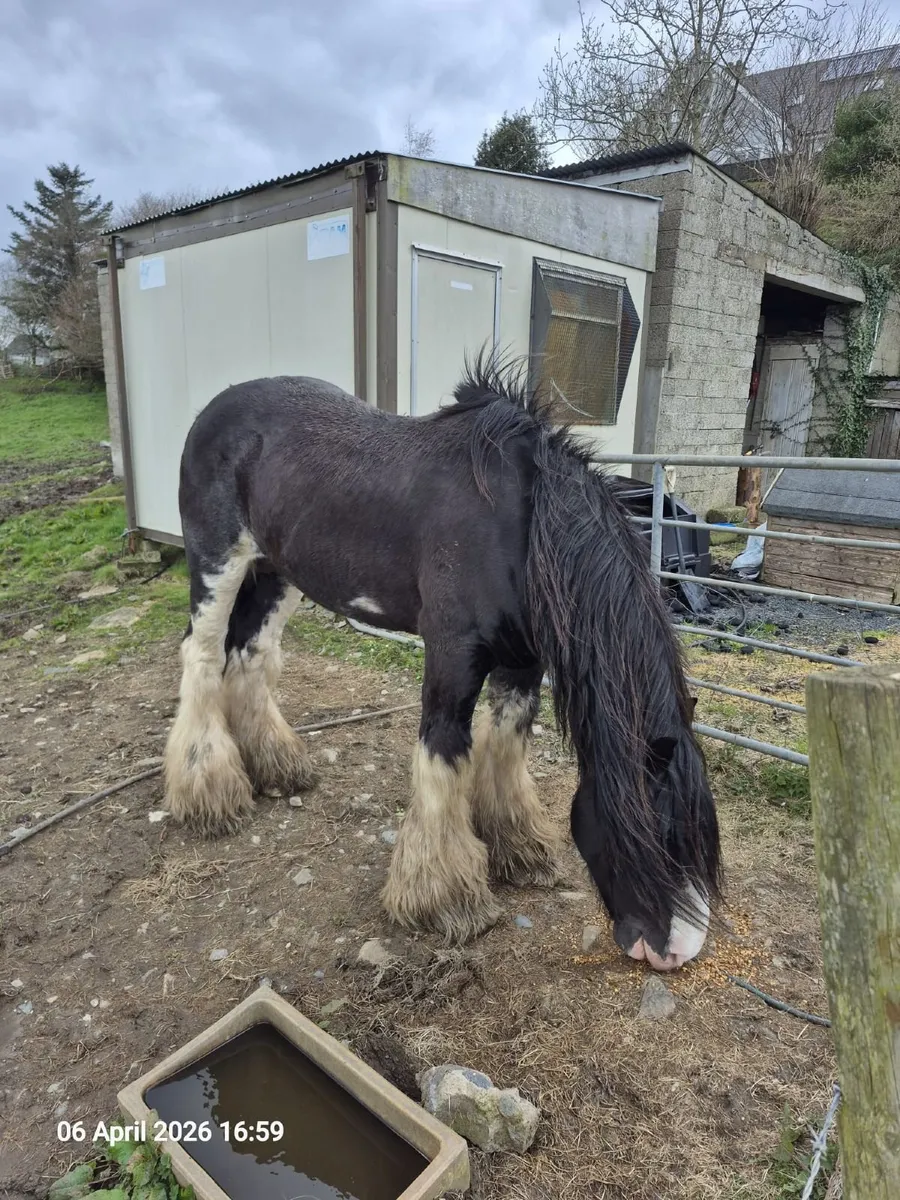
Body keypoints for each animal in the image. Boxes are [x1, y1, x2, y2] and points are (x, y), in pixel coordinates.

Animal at [163, 358, 721, 971]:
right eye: (655, 835)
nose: (679, 951)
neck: (518, 525)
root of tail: (215, 410)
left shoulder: (523, 662)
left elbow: (505, 748)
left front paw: (518, 851)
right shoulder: (453, 655)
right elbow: (443, 753)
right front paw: (444, 897)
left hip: (276, 572)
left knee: (251, 655)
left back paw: (276, 767)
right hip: (218, 562)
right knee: (203, 652)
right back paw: (209, 791)